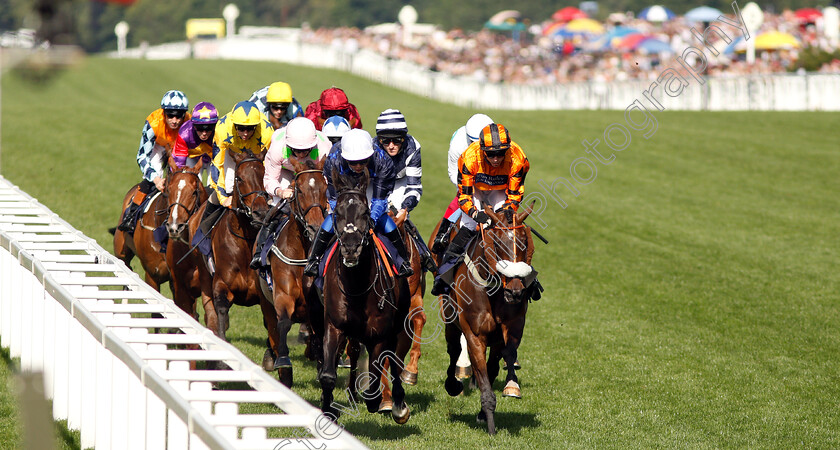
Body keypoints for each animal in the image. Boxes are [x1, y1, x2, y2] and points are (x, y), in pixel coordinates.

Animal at [189, 149, 270, 342]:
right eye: (239, 178)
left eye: (264, 175)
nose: (260, 213)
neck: (245, 242)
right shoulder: (221, 285)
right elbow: (220, 313)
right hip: (204, 274)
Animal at [260, 156, 328, 384]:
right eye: (299, 189)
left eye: (325, 187)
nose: (316, 227)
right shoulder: (283, 295)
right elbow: (283, 324)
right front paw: (282, 362)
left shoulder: (317, 304)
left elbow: (319, 333)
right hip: (265, 301)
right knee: (272, 329)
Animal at [318, 170, 414, 426]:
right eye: (337, 213)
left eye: (365, 213)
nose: (351, 248)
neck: (357, 286)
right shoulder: (334, 325)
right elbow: (328, 375)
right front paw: (328, 410)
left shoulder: (378, 335)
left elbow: (376, 379)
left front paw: (382, 402)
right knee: (353, 353)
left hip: (399, 323)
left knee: (395, 360)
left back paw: (398, 405)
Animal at [440, 203, 540, 432]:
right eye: (497, 242)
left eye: (525, 242)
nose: (515, 292)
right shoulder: (475, 334)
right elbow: (482, 371)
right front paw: (490, 423)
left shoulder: (507, 330)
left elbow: (500, 361)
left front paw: (510, 387)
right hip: (449, 316)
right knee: (453, 349)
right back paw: (453, 384)